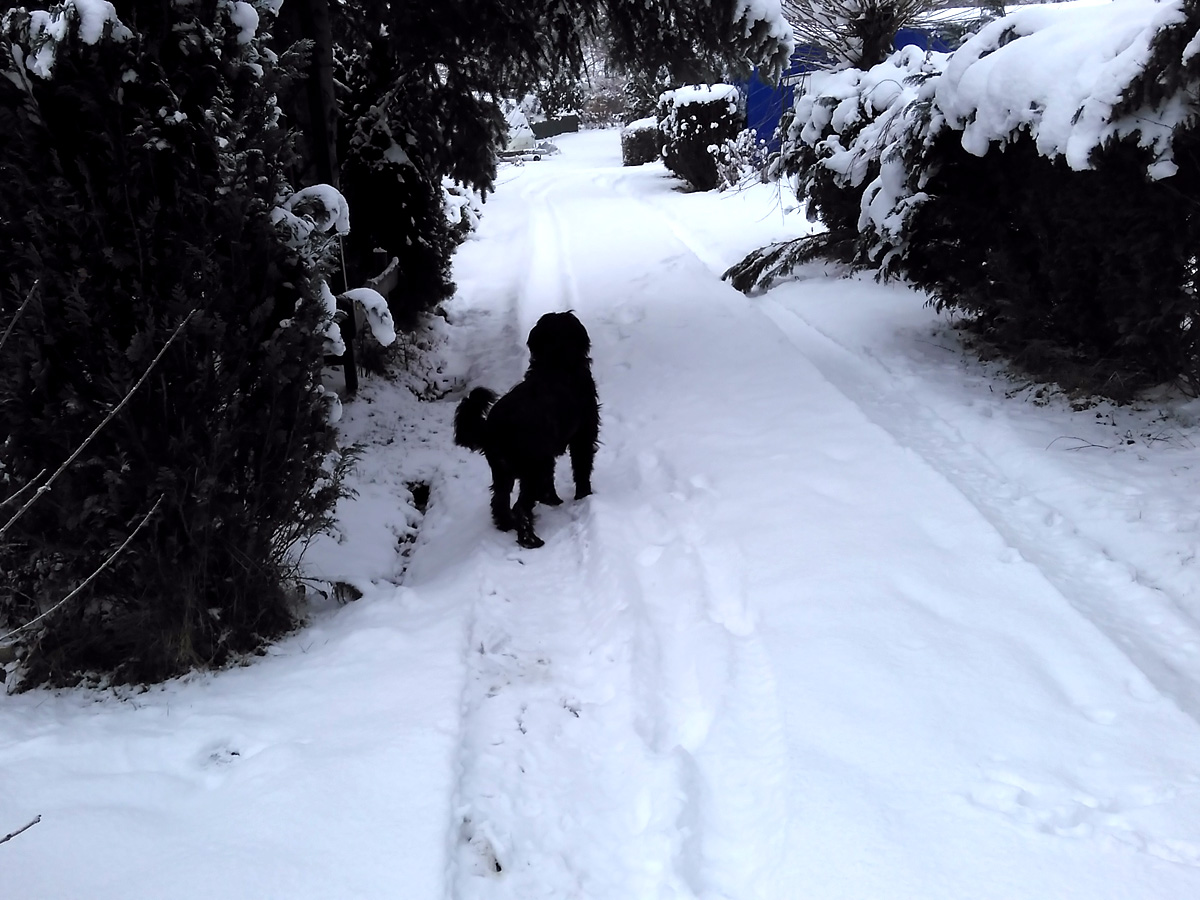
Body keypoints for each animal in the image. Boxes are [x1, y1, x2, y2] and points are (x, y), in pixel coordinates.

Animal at [451, 309, 597, 549]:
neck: (555, 362)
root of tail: (493, 428)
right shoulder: (583, 435)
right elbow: (582, 468)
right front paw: (584, 496)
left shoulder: (548, 454)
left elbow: (550, 481)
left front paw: (553, 501)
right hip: (531, 470)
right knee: (520, 507)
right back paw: (530, 539)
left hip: (503, 472)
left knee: (499, 502)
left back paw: (506, 525)